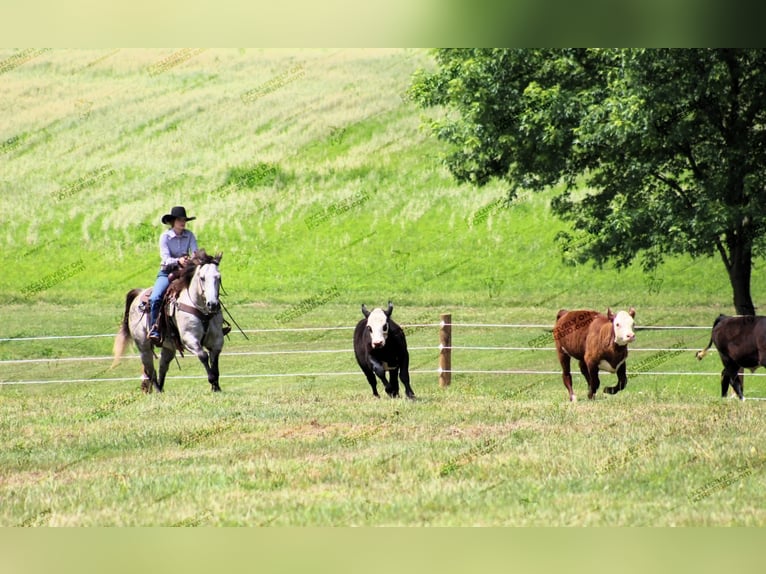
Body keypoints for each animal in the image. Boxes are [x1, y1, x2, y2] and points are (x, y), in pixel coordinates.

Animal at [112, 254, 225, 394]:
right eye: (202, 278)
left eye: (218, 277)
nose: (213, 304)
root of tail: (139, 294)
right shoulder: (189, 339)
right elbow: (203, 356)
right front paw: (212, 380)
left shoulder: (217, 340)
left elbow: (214, 359)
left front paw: (216, 387)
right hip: (143, 347)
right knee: (150, 369)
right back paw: (157, 390)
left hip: (169, 347)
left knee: (162, 367)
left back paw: (160, 388)